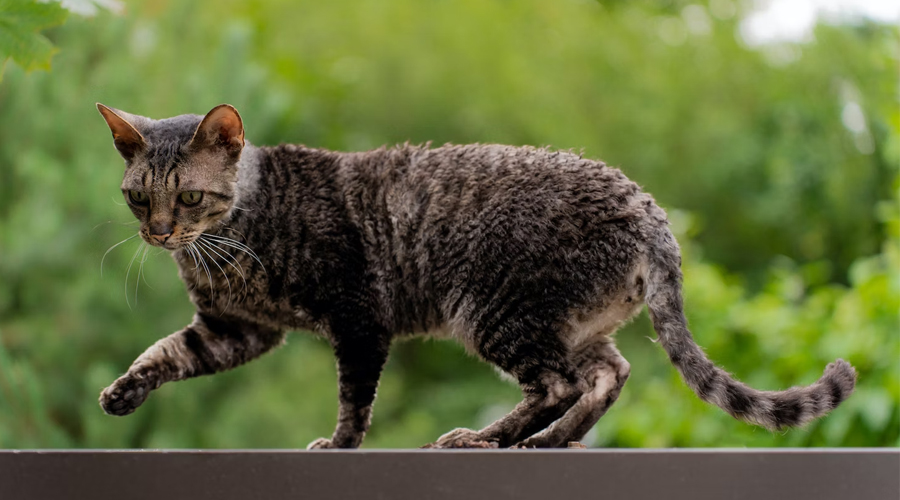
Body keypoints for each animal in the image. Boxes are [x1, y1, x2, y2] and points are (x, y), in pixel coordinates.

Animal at [95, 103, 856, 448]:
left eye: (188, 198)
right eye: (138, 197)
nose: (157, 232)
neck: (222, 248)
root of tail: (647, 206)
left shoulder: (358, 320)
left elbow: (353, 402)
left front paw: (338, 443)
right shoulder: (234, 329)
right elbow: (164, 352)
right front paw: (122, 393)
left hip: (492, 312)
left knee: (558, 383)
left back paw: (489, 438)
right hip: (570, 322)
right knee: (607, 375)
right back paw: (548, 442)